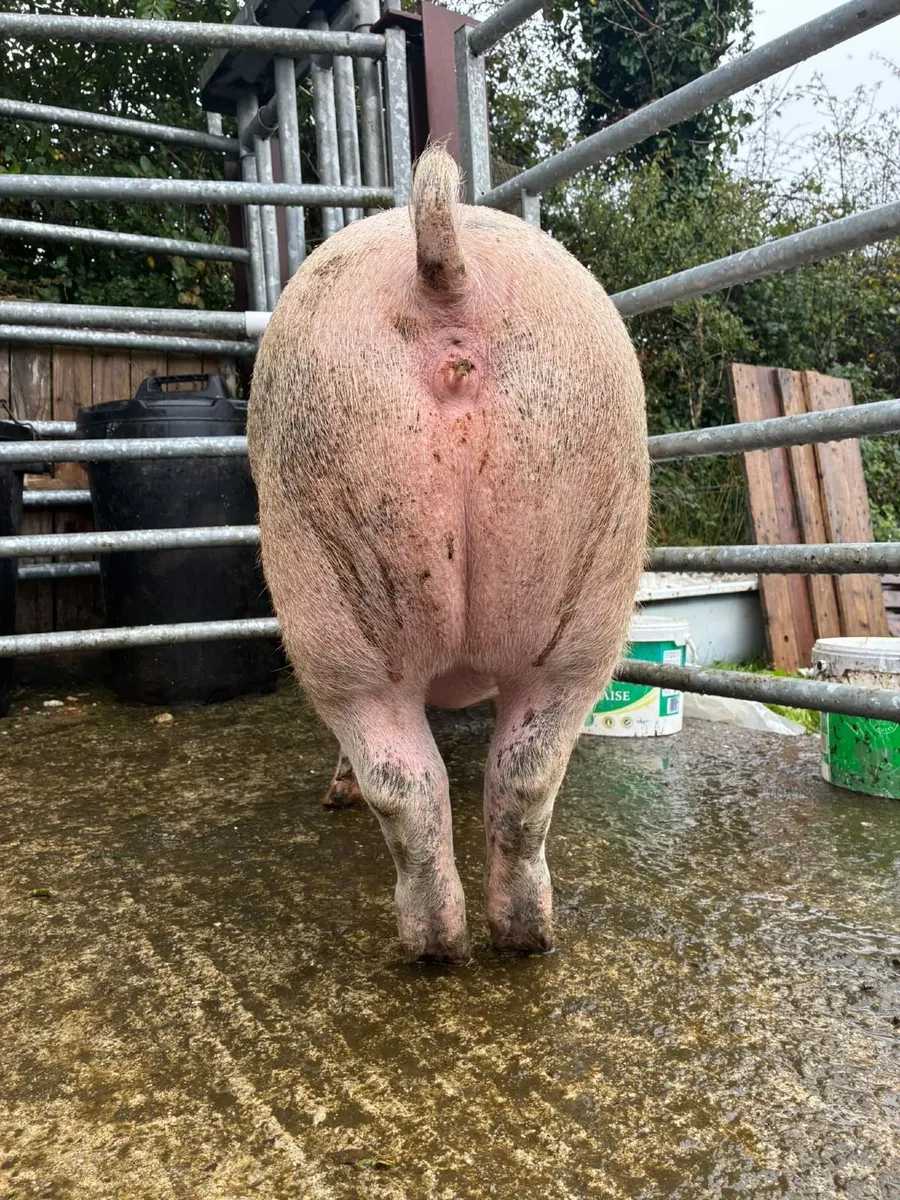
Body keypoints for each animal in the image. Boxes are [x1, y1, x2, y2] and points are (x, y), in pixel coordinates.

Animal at [247, 145, 649, 963]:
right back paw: (513, 938)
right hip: (585, 578)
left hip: (322, 574)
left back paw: (433, 942)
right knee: (515, 777)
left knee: (399, 778)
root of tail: (449, 277)